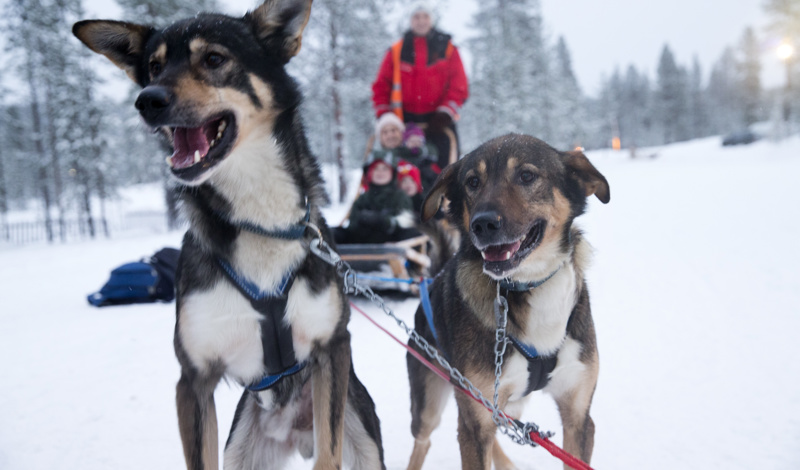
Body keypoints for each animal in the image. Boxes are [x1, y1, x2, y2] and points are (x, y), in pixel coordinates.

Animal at [73, 0, 386, 470]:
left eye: (214, 59)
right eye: (154, 66)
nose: (148, 100)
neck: (260, 222)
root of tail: (294, 432)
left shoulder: (332, 348)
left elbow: (329, 452)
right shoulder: (194, 380)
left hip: (362, 436)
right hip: (242, 446)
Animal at [404, 134, 608, 470]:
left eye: (526, 176)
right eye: (472, 182)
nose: (483, 224)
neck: (529, 285)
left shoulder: (579, 415)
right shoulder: (474, 423)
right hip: (430, 401)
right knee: (423, 440)